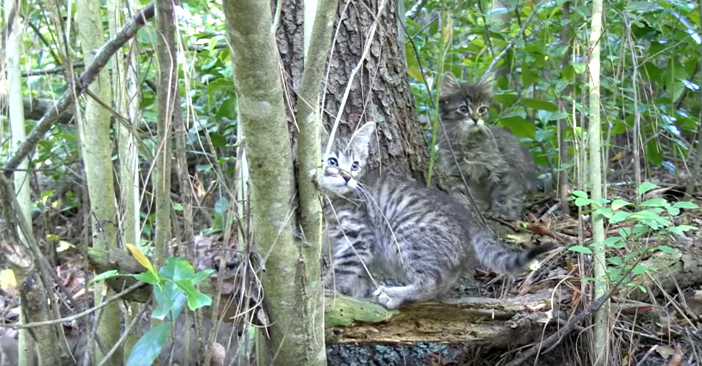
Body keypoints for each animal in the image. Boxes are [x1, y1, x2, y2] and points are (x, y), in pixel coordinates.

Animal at [320, 123, 556, 308]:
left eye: (354, 165)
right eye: (332, 162)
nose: (347, 177)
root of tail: (468, 221)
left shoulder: (360, 238)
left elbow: (341, 269)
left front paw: (323, 292)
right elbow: (358, 274)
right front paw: (355, 295)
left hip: (407, 231)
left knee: (430, 282)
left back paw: (394, 295)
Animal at [440, 73, 540, 219]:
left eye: (482, 109)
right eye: (463, 109)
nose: (476, 119)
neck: (466, 140)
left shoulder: (501, 167)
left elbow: (504, 192)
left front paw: (502, 213)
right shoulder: (455, 170)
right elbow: (458, 190)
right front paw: (460, 205)